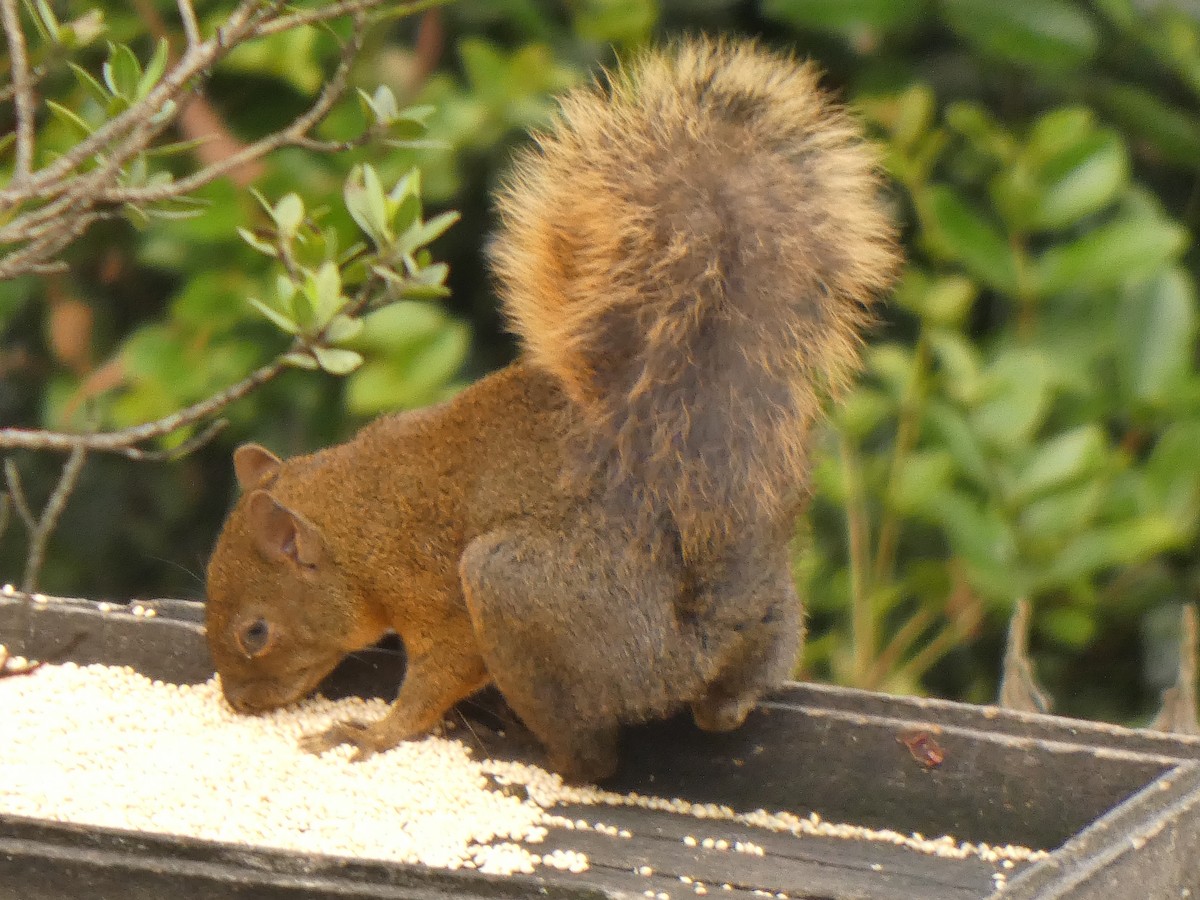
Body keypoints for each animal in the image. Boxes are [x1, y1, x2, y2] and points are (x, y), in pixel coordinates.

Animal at [204, 37, 899, 782]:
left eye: (255, 631)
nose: (239, 702)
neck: (358, 522)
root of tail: (703, 627)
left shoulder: (436, 598)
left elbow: (438, 675)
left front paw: (374, 731)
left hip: (515, 589)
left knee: (594, 757)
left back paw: (543, 751)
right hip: (756, 610)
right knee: (764, 651)